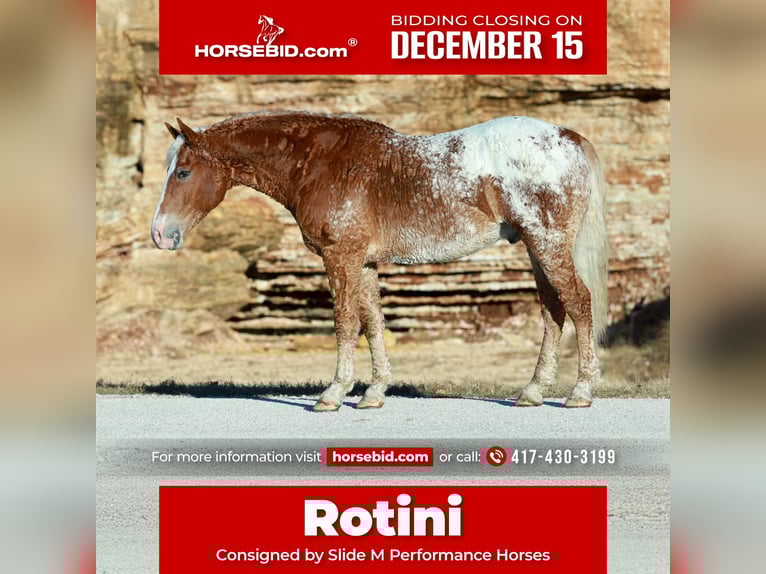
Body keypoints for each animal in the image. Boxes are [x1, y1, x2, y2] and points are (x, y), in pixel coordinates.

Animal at [151, 111, 609, 411]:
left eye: (184, 172)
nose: (160, 234)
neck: (319, 163)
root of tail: (567, 136)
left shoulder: (340, 257)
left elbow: (345, 322)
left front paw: (334, 393)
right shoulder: (364, 263)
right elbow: (372, 322)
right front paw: (374, 392)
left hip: (547, 244)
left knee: (579, 303)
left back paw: (580, 392)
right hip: (536, 248)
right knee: (553, 310)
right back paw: (532, 392)